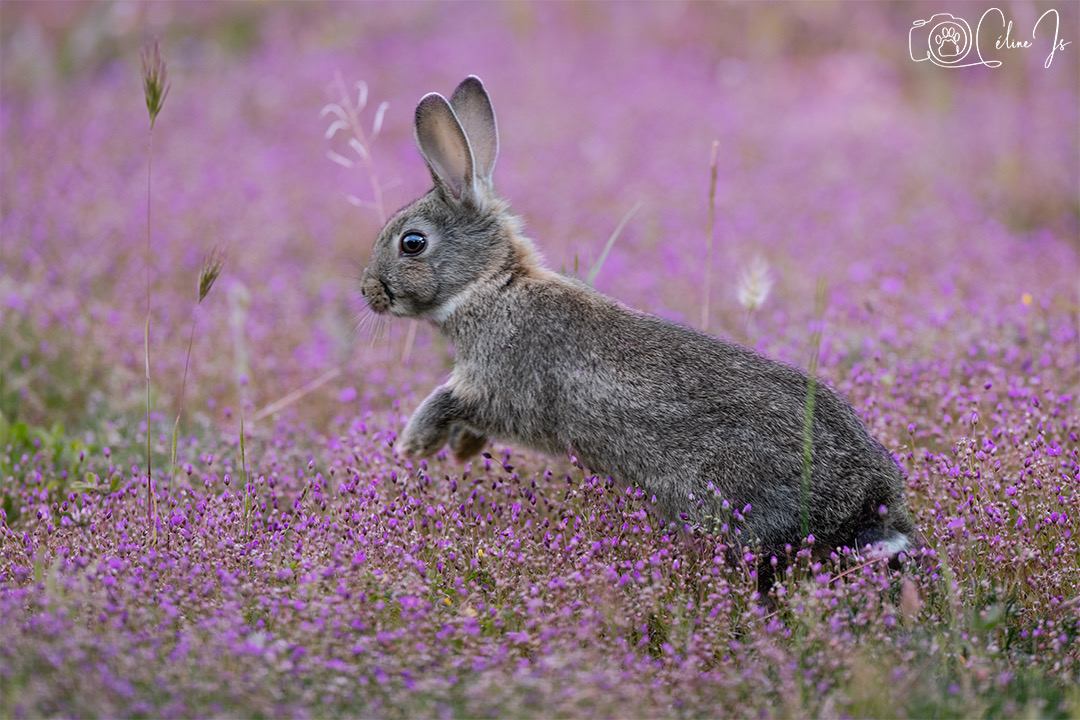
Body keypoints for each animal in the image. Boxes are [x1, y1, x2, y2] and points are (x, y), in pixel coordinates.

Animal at [360, 76, 917, 593]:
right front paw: (456, 451)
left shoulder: (502, 387)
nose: (368, 292)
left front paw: (413, 445)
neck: (491, 286)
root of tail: (872, 502)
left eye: (412, 243)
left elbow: (449, 400)